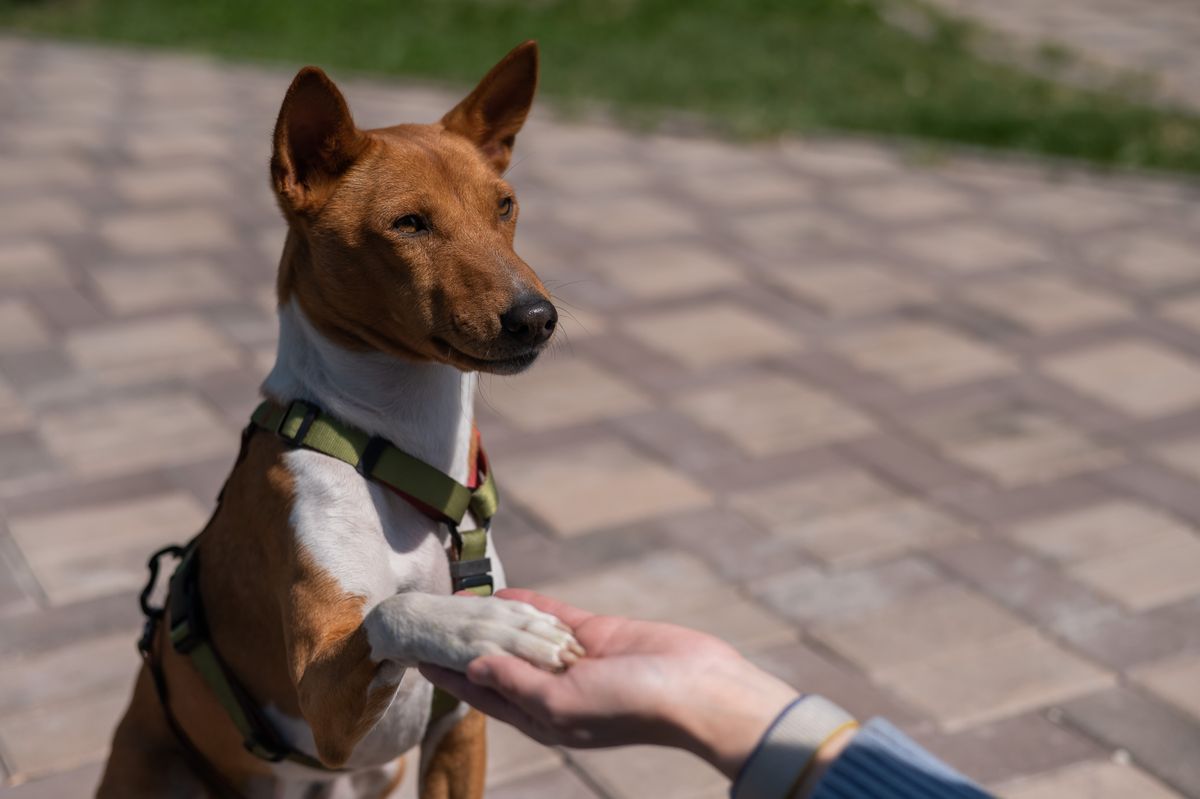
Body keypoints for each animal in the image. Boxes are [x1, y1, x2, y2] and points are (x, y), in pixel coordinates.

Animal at [96, 41, 583, 796]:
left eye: (505, 206)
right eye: (409, 223)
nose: (536, 317)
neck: (403, 454)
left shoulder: (458, 726)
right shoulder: (323, 705)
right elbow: (395, 606)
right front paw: (489, 627)